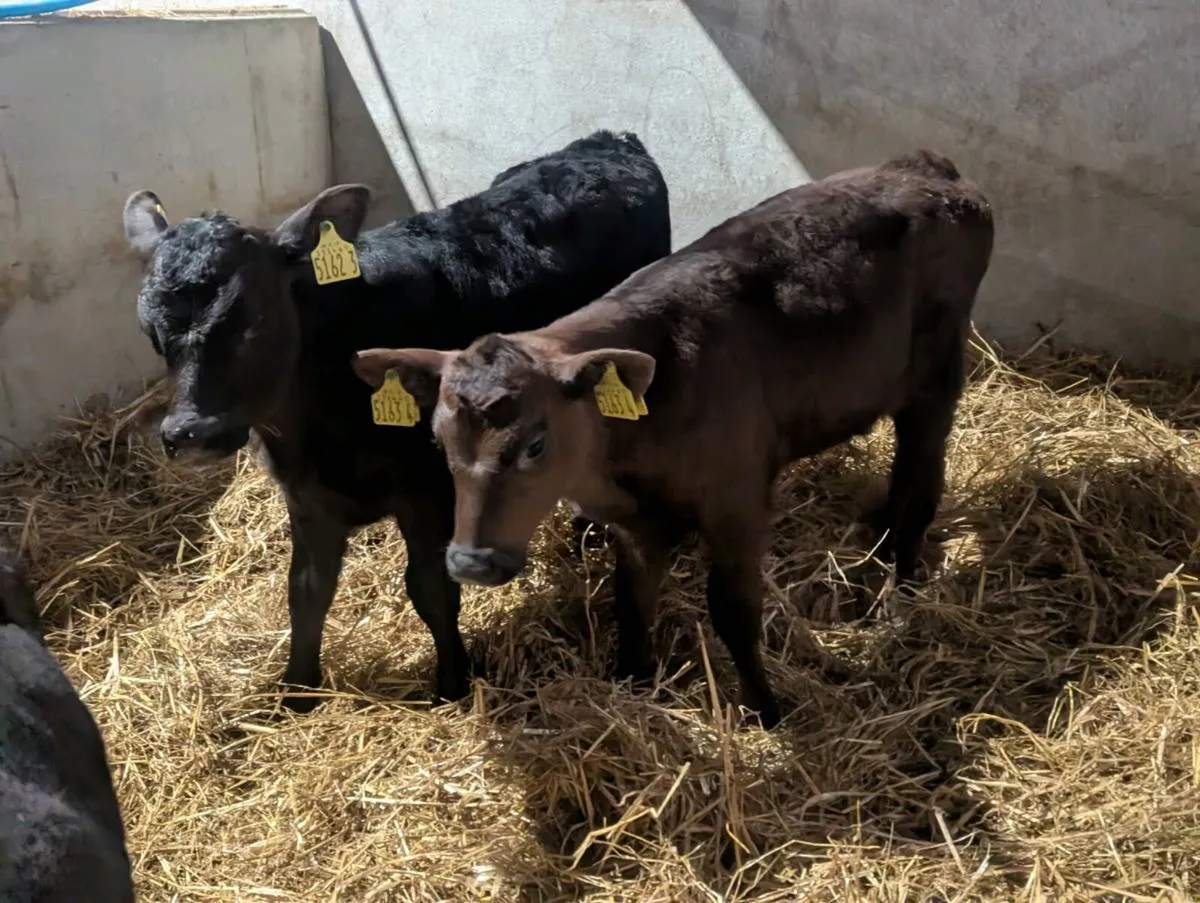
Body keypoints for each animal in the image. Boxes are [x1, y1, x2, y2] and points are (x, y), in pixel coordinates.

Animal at [120, 129, 671, 712]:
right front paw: (296, 691)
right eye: (150, 331)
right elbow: (306, 590)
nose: (190, 432)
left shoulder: (428, 494)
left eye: (254, 320)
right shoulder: (309, 500)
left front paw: (452, 685)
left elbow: (431, 590)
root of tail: (608, 140)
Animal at [350, 150, 995, 729]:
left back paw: (901, 585)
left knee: (921, 476)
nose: (471, 561)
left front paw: (764, 711)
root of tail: (926, 167)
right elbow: (631, 601)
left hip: (938, 378)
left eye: (536, 444)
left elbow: (734, 609)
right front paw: (633, 680)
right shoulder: (639, 523)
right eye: (439, 442)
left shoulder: (737, 502)